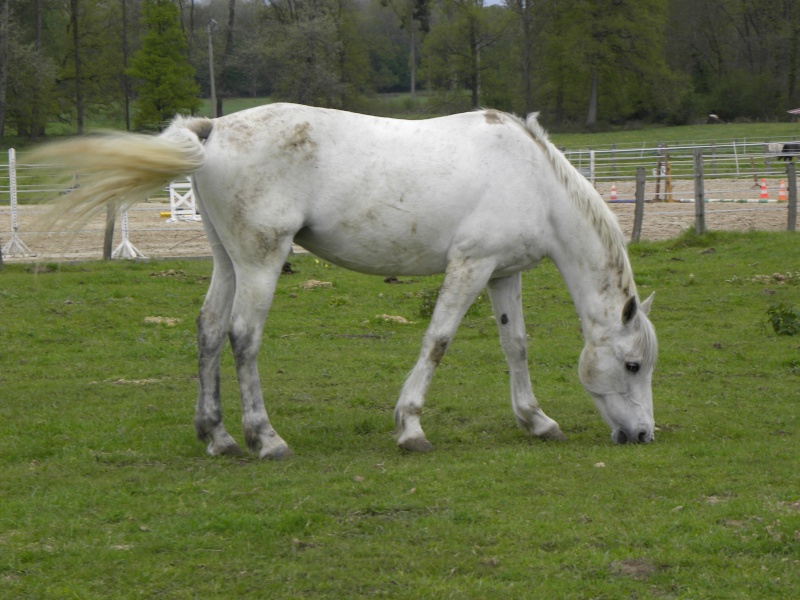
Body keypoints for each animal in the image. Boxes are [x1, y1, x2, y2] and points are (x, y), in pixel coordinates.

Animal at [34, 104, 656, 460]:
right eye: (631, 366)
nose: (645, 435)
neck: (532, 179)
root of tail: (213, 130)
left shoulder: (502, 273)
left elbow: (515, 345)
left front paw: (536, 420)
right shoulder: (470, 266)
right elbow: (438, 341)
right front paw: (410, 427)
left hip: (228, 261)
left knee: (209, 329)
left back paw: (218, 436)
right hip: (260, 261)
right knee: (241, 336)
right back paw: (265, 439)